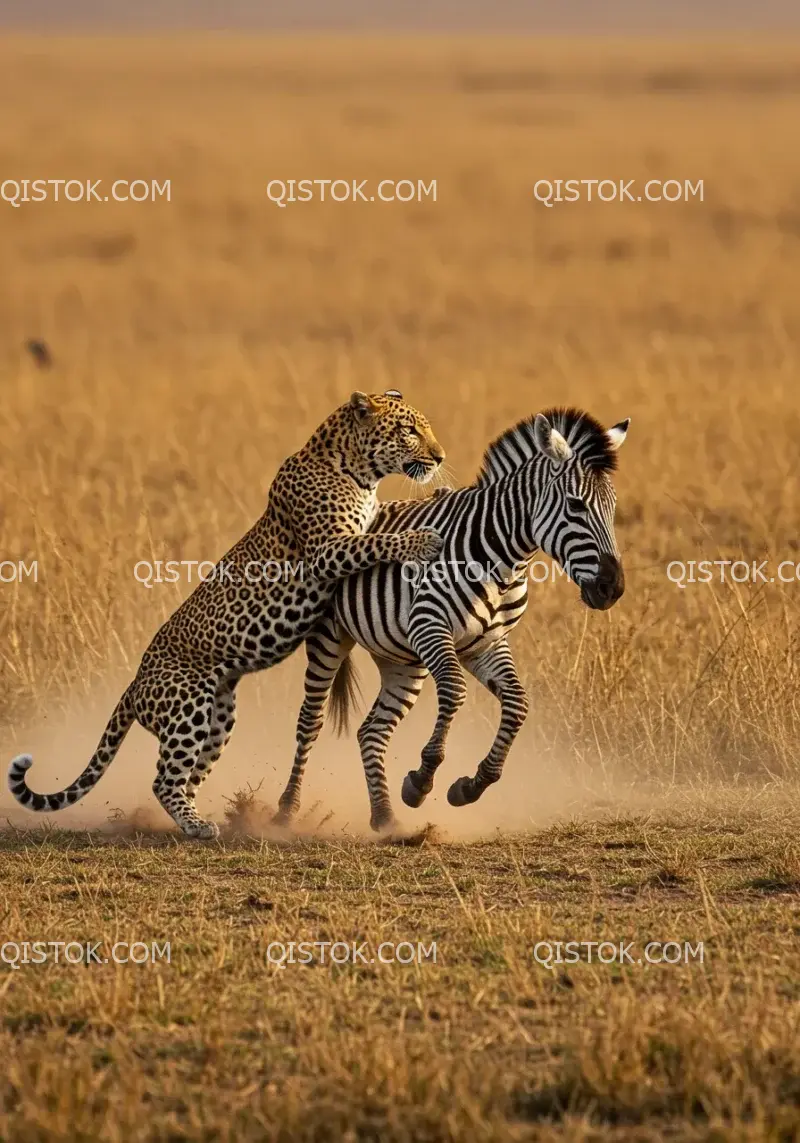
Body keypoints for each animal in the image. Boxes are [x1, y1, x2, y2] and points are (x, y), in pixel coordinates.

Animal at [7, 388, 443, 836]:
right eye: (409, 430)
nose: (440, 457)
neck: (356, 470)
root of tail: (134, 685)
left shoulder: (366, 520)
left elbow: (381, 524)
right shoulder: (329, 550)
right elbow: (376, 542)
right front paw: (422, 539)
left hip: (220, 717)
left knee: (188, 776)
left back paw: (210, 818)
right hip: (189, 708)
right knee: (164, 779)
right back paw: (198, 826)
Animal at [275, 406, 630, 827]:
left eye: (612, 508)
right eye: (576, 506)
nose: (613, 588)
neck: (503, 558)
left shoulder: (487, 644)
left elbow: (518, 703)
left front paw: (471, 785)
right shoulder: (430, 626)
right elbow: (456, 691)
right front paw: (422, 779)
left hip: (402, 661)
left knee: (371, 731)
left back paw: (384, 817)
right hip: (329, 639)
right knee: (309, 722)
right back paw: (287, 808)